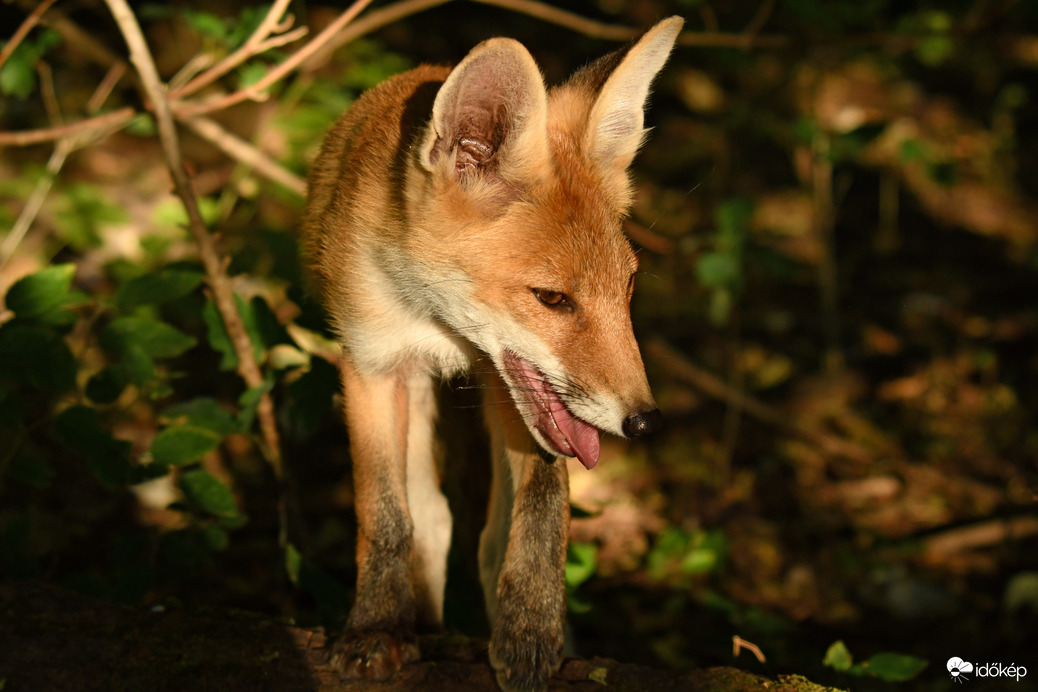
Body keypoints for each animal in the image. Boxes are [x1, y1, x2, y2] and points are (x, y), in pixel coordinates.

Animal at [301, 14, 680, 692]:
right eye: (552, 298)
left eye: (629, 287)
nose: (645, 422)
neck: (437, 324)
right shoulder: (370, 363)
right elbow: (386, 517)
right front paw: (376, 629)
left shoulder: (516, 391)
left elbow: (540, 510)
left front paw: (530, 636)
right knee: (430, 519)